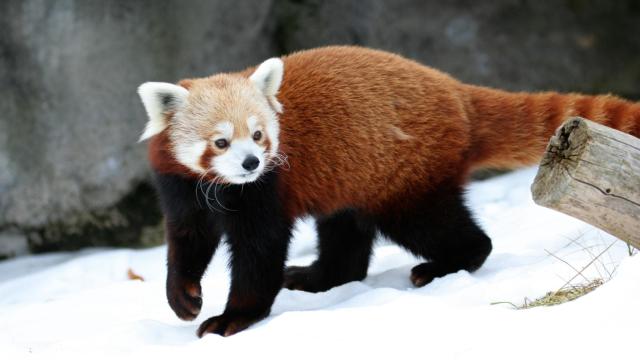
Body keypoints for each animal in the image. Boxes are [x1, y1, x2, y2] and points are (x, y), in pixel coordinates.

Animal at [136, 45, 640, 338]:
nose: (251, 163)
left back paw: (444, 265)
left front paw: (233, 318)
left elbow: (259, 252)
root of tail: (457, 92)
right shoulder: (182, 186)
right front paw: (183, 297)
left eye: (259, 136)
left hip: (406, 177)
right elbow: (188, 240)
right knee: (345, 233)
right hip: (355, 176)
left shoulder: (267, 191)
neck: (223, 188)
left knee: (438, 228)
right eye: (221, 142)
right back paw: (318, 277)